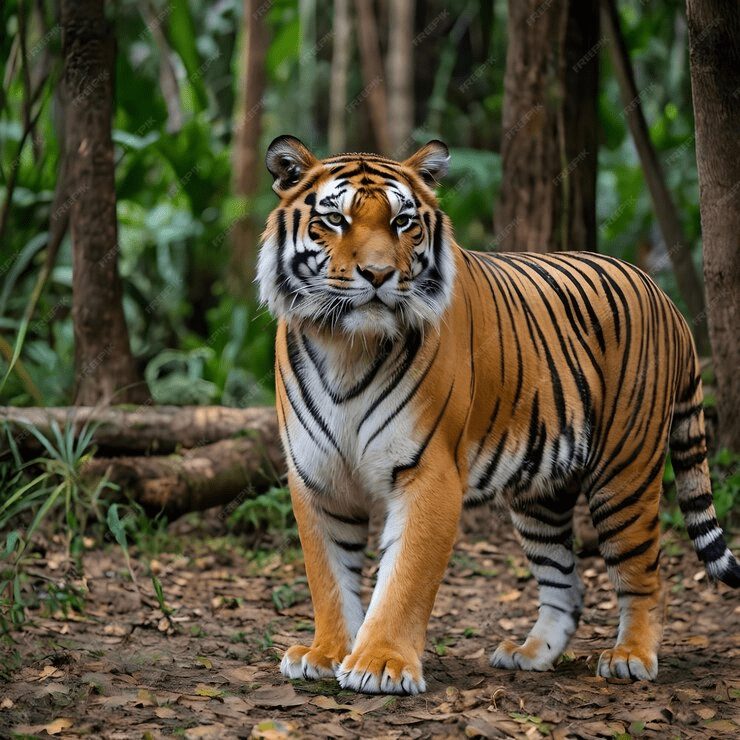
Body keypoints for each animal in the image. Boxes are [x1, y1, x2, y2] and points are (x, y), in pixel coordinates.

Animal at [256, 136, 740, 696]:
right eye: (335, 220)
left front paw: (379, 664)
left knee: (646, 576)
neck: (346, 346)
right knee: (564, 583)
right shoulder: (318, 476)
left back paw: (631, 657)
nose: (378, 275)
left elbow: (403, 578)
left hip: (625, 473)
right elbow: (328, 576)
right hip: (542, 493)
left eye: (402, 222)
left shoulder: (429, 473)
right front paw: (326, 654)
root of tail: (666, 298)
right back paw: (530, 654)